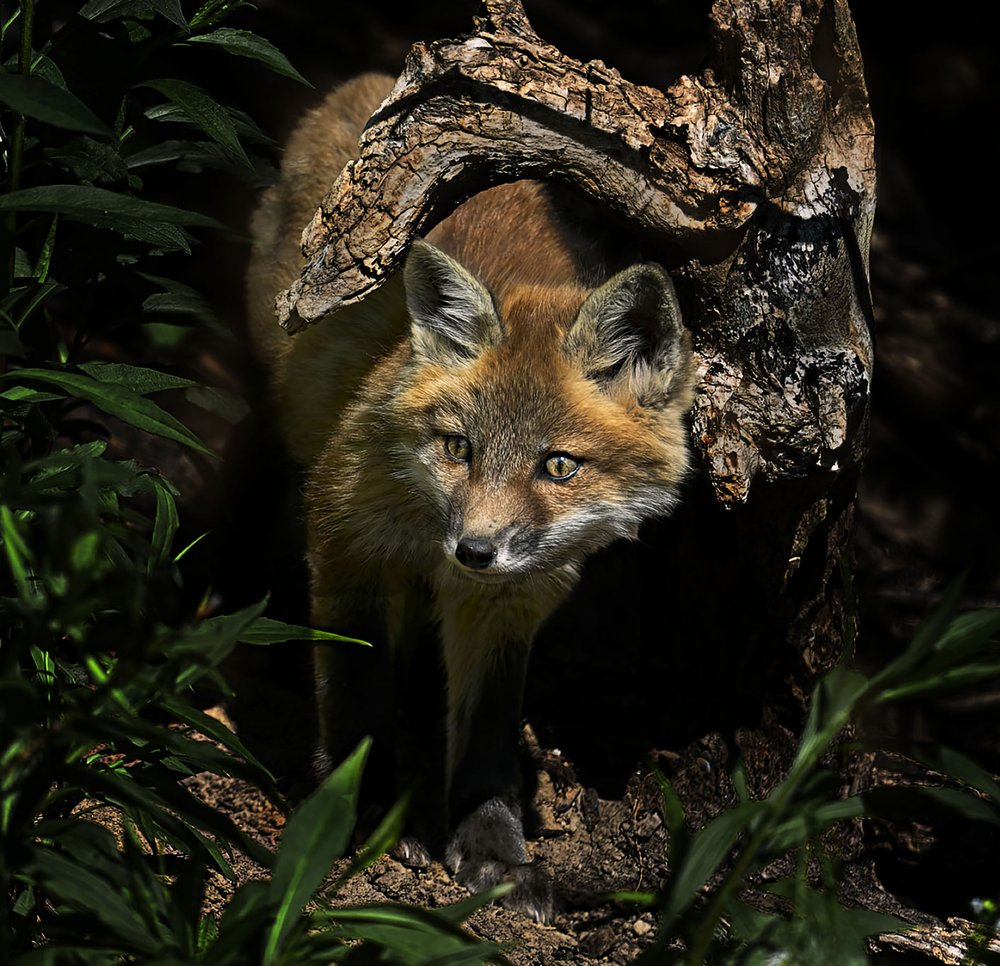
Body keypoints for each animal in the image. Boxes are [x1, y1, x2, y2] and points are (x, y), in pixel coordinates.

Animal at [246, 73, 696, 921]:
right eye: (460, 448)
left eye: (559, 466)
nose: (475, 550)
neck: (428, 529)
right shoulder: (347, 539)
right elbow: (355, 691)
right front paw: (356, 811)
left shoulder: (511, 598)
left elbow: (487, 729)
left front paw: (492, 849)